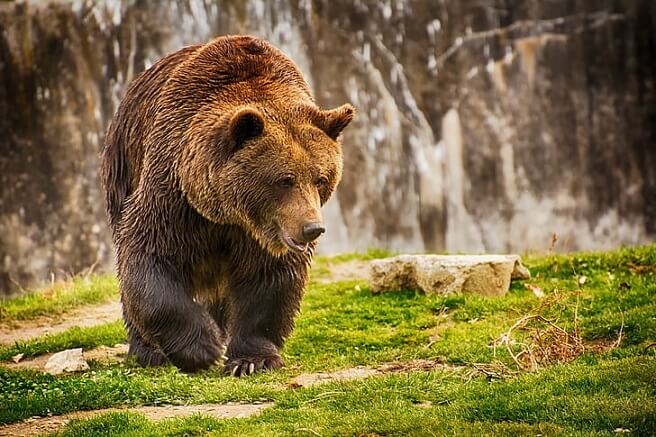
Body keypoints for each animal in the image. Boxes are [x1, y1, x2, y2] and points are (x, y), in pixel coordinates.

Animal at [100, 35, 354, 374]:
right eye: (285, 179)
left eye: (321, 178)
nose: (312, 228)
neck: (227, 213)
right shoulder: (173, 193)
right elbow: (149, 257)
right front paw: (201, 348)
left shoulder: (263, 233)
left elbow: (268, 279)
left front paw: (251, 360)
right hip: (123, 164)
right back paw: (148, 351)